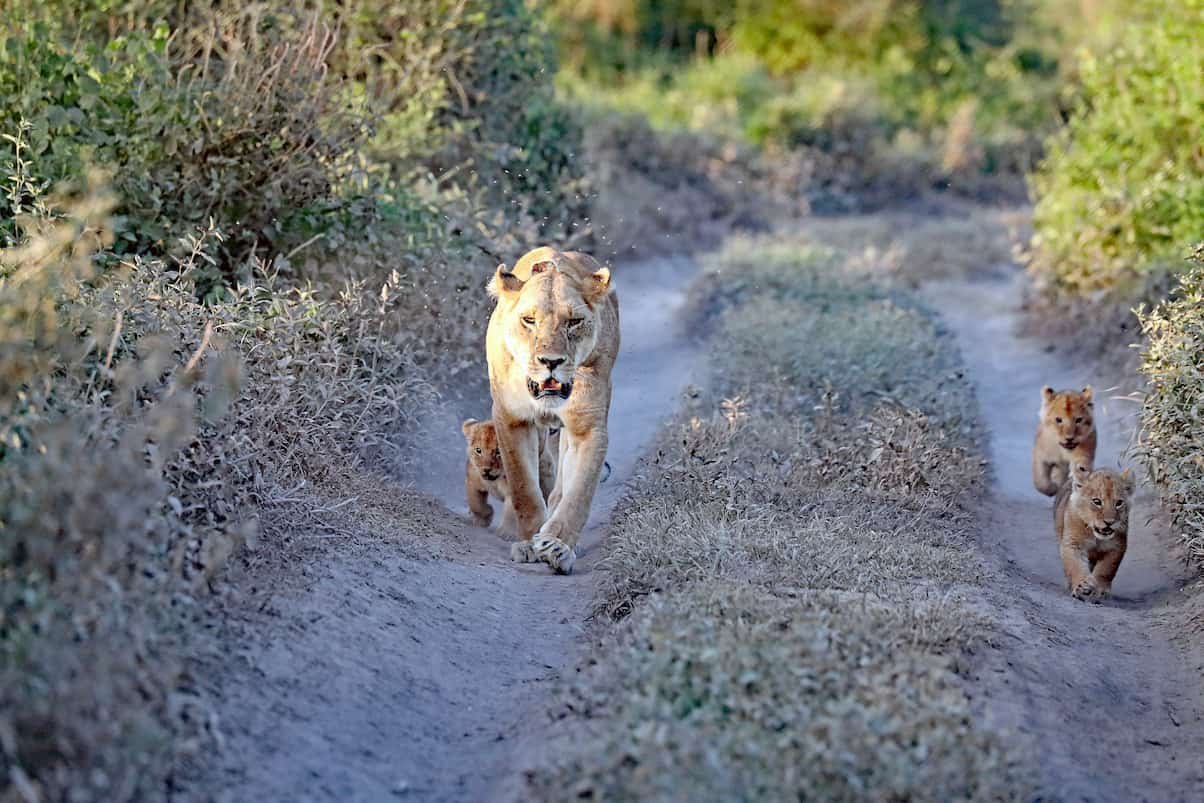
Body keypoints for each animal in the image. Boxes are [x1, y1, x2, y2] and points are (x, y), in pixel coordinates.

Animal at [486, 246, 619, 574]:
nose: (551, 361)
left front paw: (556, 545)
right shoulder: (511, 419)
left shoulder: (588, 427)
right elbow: (523, 487)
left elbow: (578, 493)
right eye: (529, 320)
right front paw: (528, 542)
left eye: (573, 322)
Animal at [1054, 462, 1134, 601]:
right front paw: (1082, 587)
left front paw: (1100, 590)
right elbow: (1075, 565)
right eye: (1097, 502)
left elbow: (1106, 570)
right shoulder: (1073, 543)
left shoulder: (1116, 547)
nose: (1109, 522)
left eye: (1119, 503)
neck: (1095, 536)